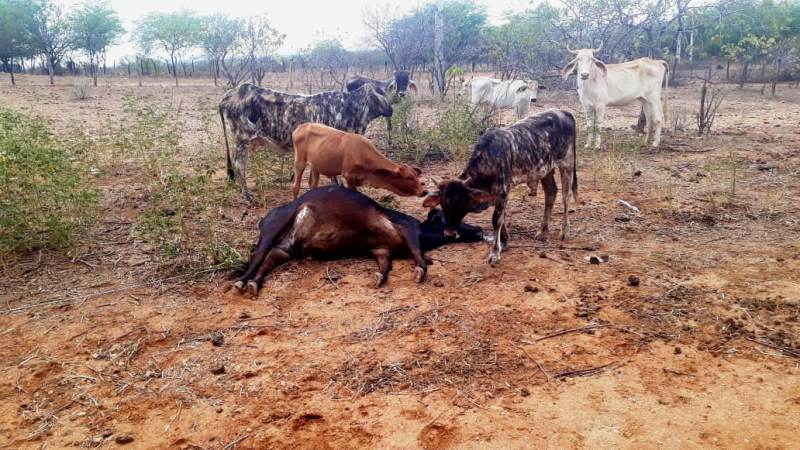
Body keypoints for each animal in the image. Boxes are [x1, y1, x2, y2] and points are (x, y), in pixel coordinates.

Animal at [219, 83, 393, 200]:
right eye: (380, 94)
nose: (391, 110)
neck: (348, 109)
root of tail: (231, 94)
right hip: (241, 140)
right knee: (239, 166)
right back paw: (247, 196)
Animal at [232, 185, 483, 296]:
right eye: (451, 216)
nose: (479, 229)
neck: (424, 230)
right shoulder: (408, 228)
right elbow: (417, 254)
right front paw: (421, 269)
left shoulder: (381, 250)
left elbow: (385, 266)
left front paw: (379, 277)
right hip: (274, 228)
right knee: (259, 255)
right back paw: (242, 282)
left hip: (288, 247)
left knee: (271, 257)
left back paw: (255, 283)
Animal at [291, 123, 427, 199]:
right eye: (408, 177)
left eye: (416, 175)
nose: (424, 191)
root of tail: (300, 126)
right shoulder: (348, 176)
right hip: (299, 162)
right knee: (295, 186)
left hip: (316, 166)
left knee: (312, 185)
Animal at [422, 109, 578, 267]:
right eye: (443, 204)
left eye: (461, 203)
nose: (450, 234)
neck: (488, 161)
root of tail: (563, 112)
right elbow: (502, 218)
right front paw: (504, 241)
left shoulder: (503, 192)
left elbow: (496, 219)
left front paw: (495, 252)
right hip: (545, 170)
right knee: (551, 193)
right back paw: (543, 232)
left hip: (567, 163)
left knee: (566, 197)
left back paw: (565, 231)